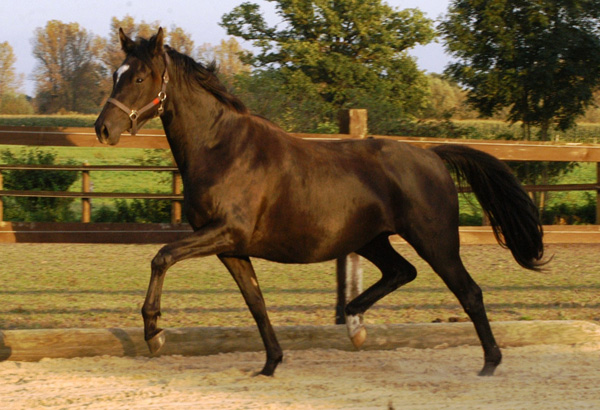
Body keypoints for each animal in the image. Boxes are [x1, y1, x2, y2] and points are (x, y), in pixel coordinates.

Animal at [96, 27, 548, 376]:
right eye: (116, 73)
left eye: (139, 78)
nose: (103, 129)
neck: (221, 148)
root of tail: (432, 155)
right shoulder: (231, 247)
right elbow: (256, 302)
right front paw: (271, 363)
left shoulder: (225, 232)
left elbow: (162, 256)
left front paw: (154, 334)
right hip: (372, 239)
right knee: (402, 272)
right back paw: (355, 321)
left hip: (434, 239)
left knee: (468, 292)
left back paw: (489, 362)